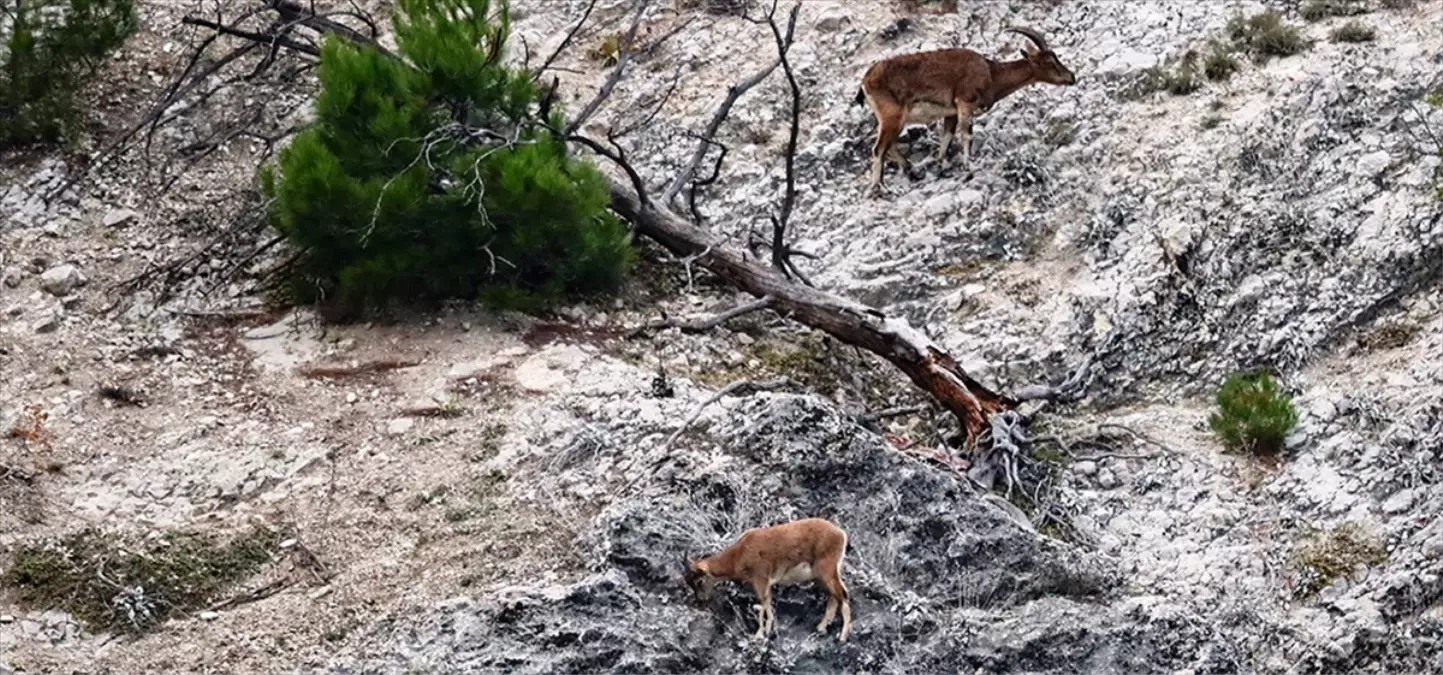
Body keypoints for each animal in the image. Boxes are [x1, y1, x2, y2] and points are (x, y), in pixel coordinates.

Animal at [681, 516, 848, 643]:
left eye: (699, 581)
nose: (701, 600)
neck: (739, 554)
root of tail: (840, 534)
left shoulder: (760, 580)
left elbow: (762, 605)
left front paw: (759, 635)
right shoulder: (766, 584)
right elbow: (767, 604)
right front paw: (768, 632)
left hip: (826, 569)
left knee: (843, 594)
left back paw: (843, 636)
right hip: (821, 576)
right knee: (834, 597)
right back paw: (821, 628)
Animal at [848, 26, 1079, 194]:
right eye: (1049, 61)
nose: (1071, 77)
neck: (991, 74)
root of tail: (865, 81)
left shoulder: (951, 112)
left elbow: (947, 136)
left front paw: (943, 164)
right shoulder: (964, 103)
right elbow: (966, 135)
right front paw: (969, 166)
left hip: (893, 120)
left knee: (888, 146)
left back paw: (911, 170)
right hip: (892, 117)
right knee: (878, 149)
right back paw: (881, 187)